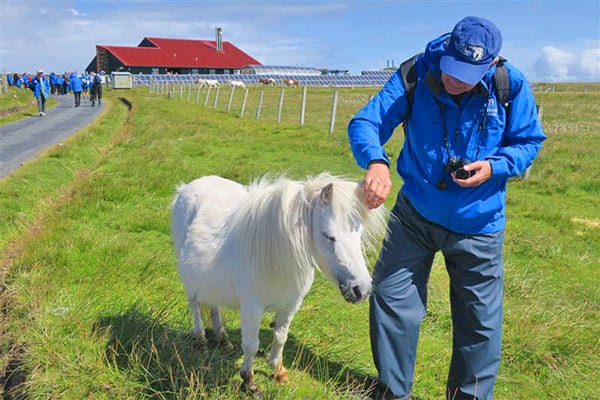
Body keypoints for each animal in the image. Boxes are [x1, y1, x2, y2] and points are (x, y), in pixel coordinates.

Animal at [172, 174, 390, 390]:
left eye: (359, 234)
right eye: (329, 236)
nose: (361, 289)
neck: (273, 257)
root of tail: (188, 186)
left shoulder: (290, 307)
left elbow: (280, 338)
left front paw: (277, 371)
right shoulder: (251, 309)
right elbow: (251, 345)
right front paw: (249, 380)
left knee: (214, 305)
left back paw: (222, 339)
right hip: (190, 282)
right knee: (195, 305)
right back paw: (200, 339)